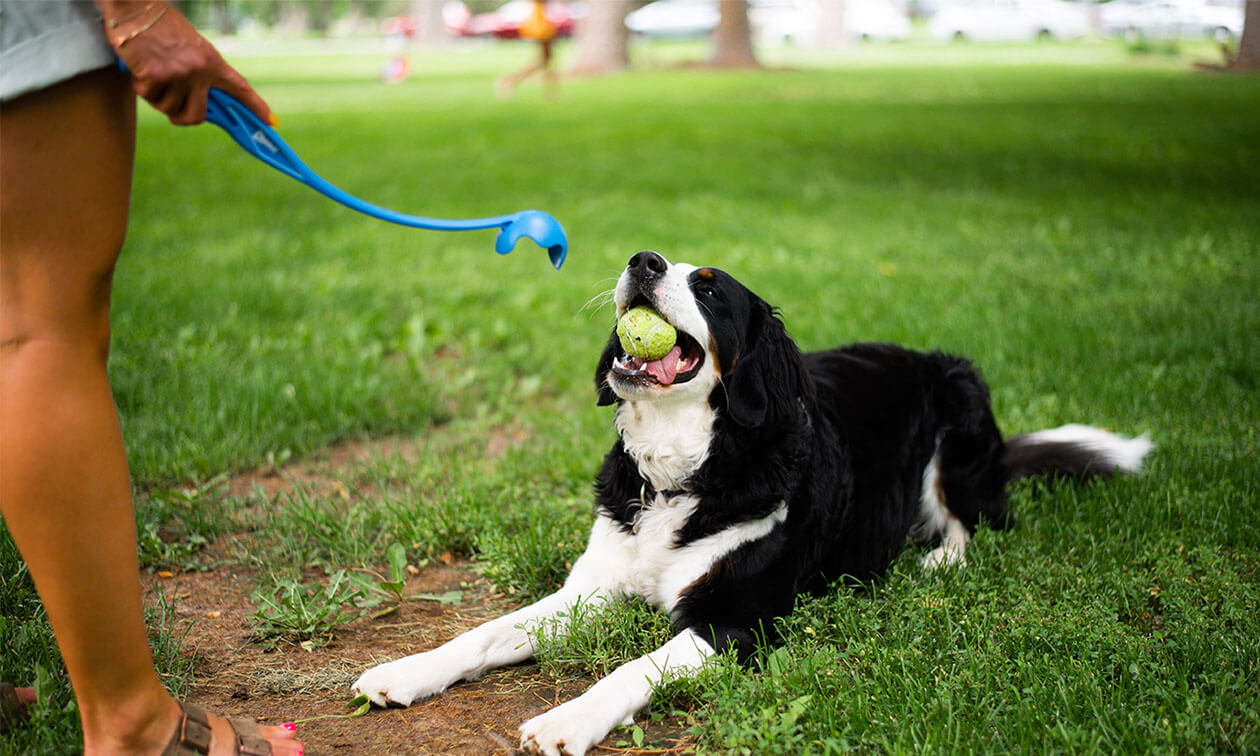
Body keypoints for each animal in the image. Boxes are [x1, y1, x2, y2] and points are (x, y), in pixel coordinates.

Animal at [352, 250, 1154, 750]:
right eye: (660, 265)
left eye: (710, 290)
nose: (642, 262)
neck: (687, 469)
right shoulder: (591, 589)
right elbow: (485, 633)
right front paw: (406, 672)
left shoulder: (735, 621)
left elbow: (630, 669)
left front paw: (569, 720)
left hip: (960, 405)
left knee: (969, 520)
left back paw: (939, 561)